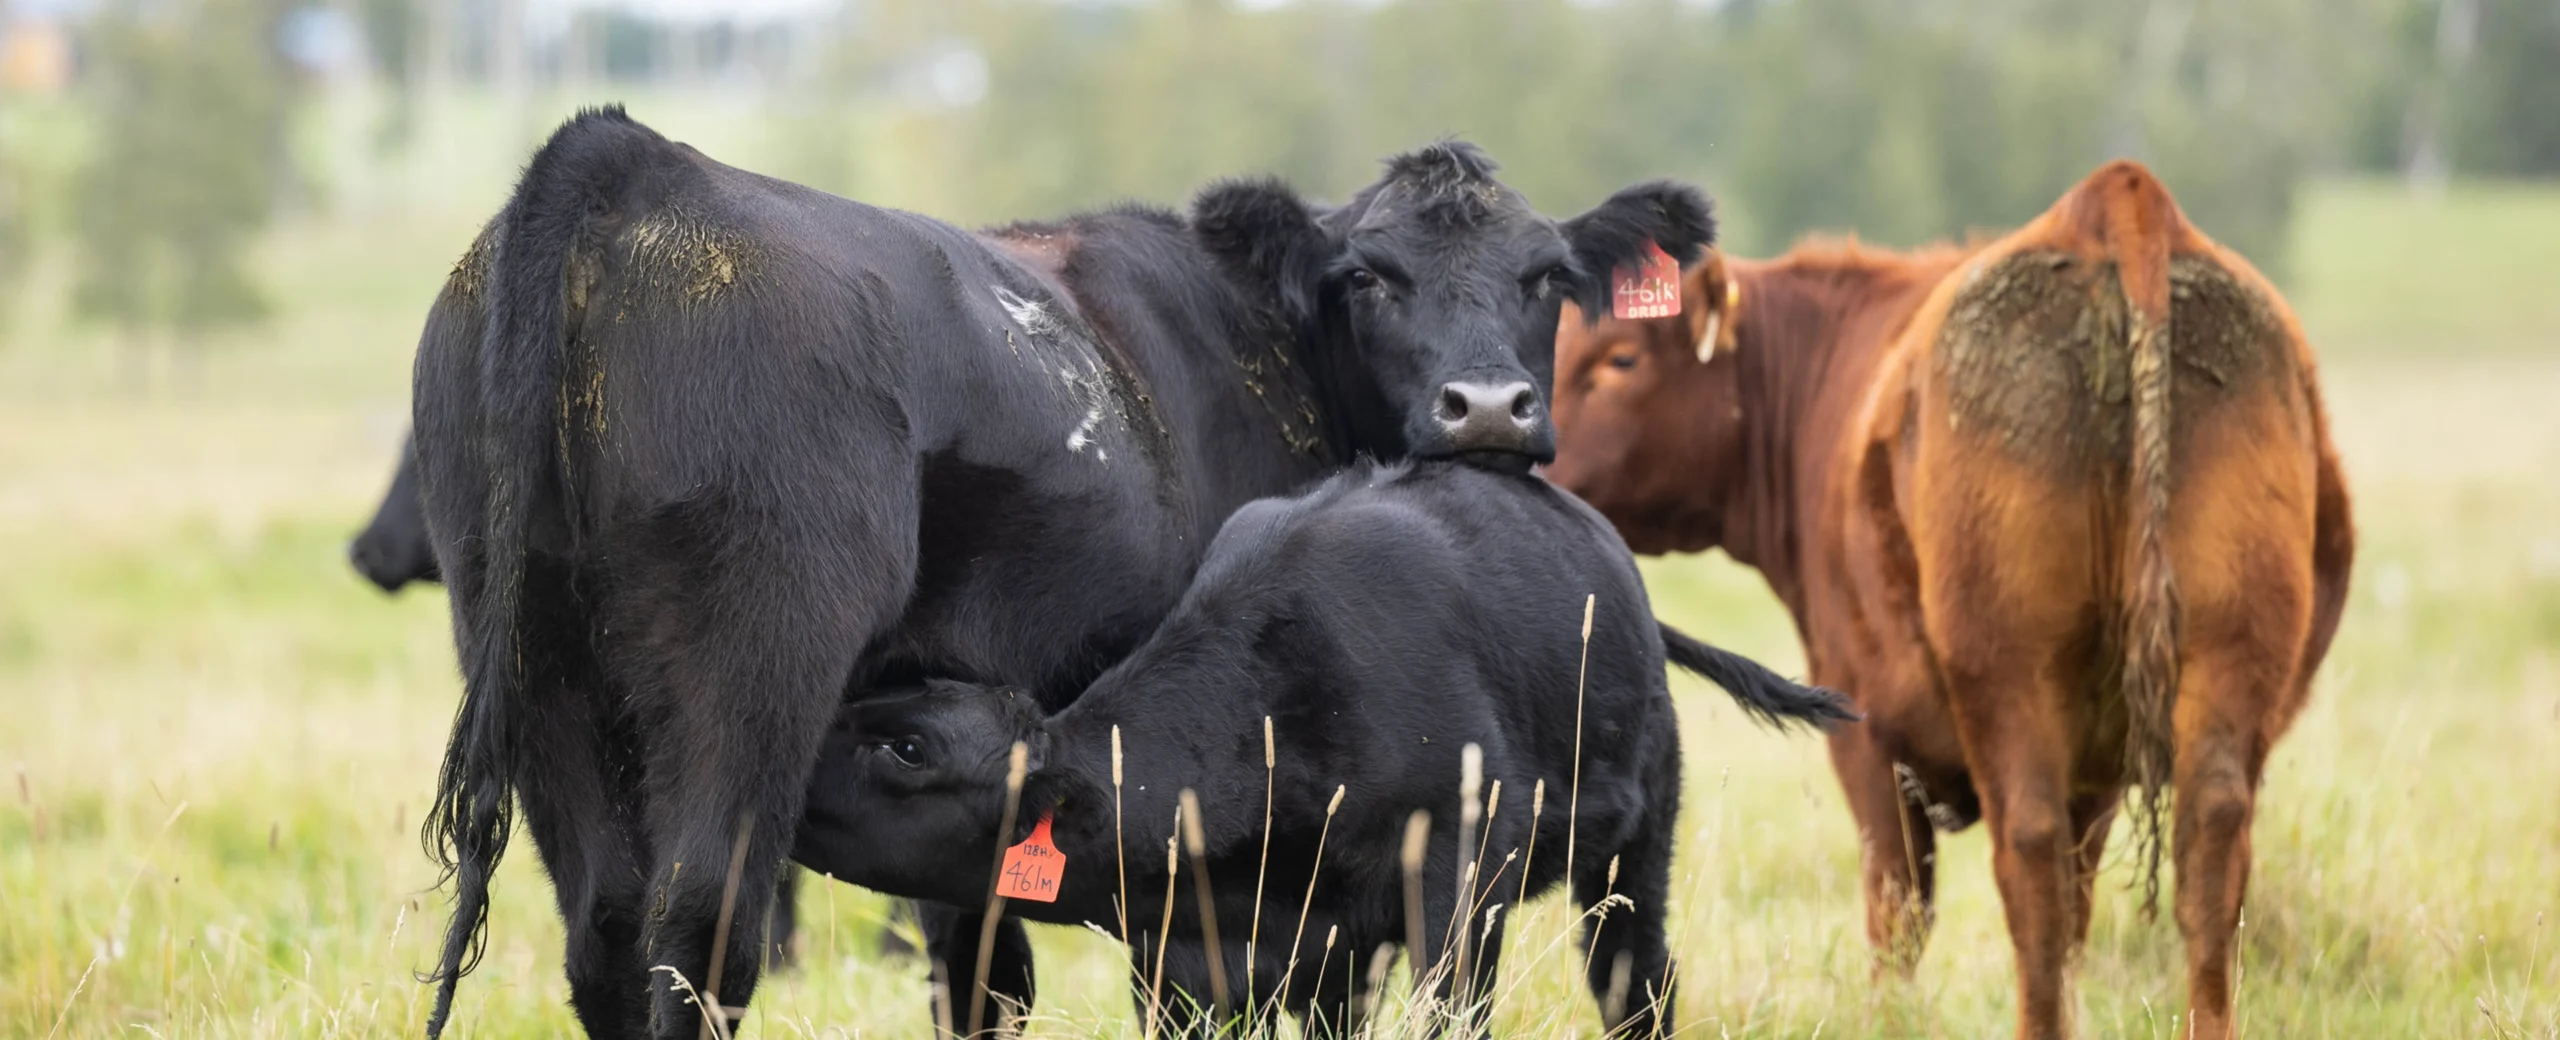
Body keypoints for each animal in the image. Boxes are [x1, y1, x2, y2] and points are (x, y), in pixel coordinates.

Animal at [411, 106, 1718, 1039]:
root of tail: (632, 163)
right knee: (702, 924)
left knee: (606, 923)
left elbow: (978, 964)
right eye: (1368, 275)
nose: (1487, 406)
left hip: (536, 662)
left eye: (1547, 274)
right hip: (752, 658)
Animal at [1543, 161, 2354, 1040]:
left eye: (1619, 359)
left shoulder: (1867, 736)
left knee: (2028, 861)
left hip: (2012, 673)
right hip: (2225, 659)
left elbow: (1897, 913)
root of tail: (2117, 204)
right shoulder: (2096, 772)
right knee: (2207, 858)